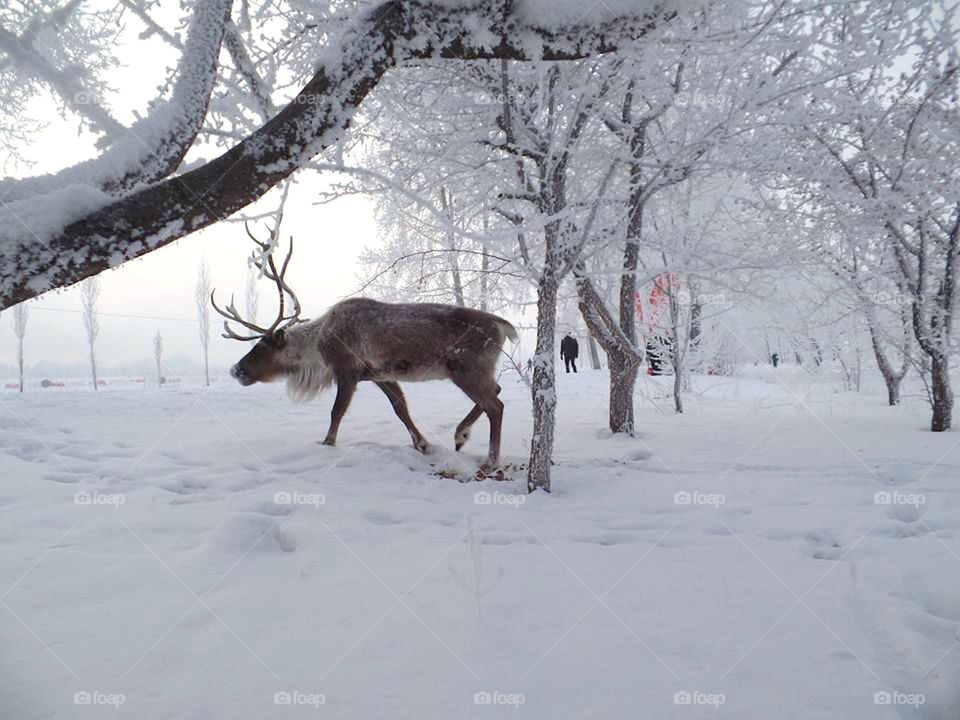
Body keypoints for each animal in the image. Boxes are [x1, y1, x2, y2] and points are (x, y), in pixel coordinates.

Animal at [212, 222, 519, 469]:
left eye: (260, 348)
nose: (235, 369)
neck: (317, 350)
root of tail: (503, 325)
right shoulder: (379, 375)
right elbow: (401, 409)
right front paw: (422, 444)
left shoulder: (346, 370)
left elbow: (336, 412)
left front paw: (327, 445)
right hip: (476, 370)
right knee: (496, 390)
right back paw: (461, 435)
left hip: (466, 368)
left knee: (496, 405)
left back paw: (489, 459)